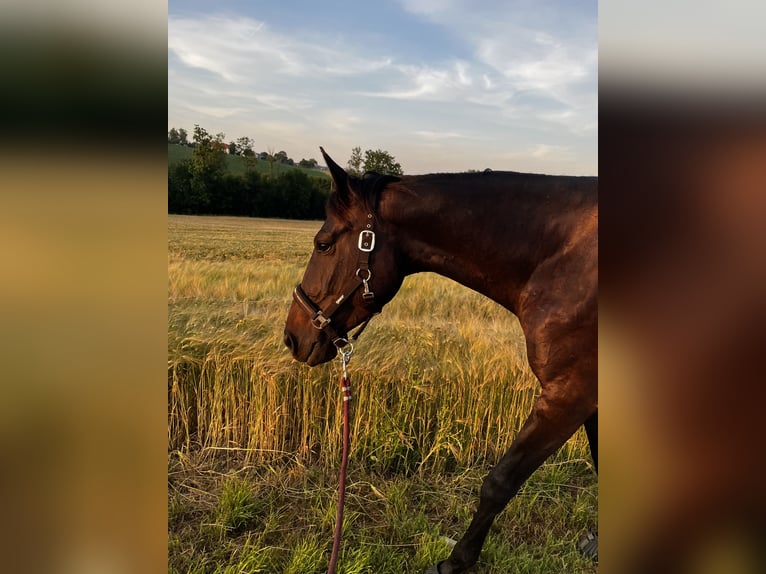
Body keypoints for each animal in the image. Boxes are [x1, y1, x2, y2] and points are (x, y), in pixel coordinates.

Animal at [283, 148, 598, 573]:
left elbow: (499, 483)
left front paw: (455, 562)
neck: (561, 257)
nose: (292, 337)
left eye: (324, 244)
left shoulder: (568, 397)